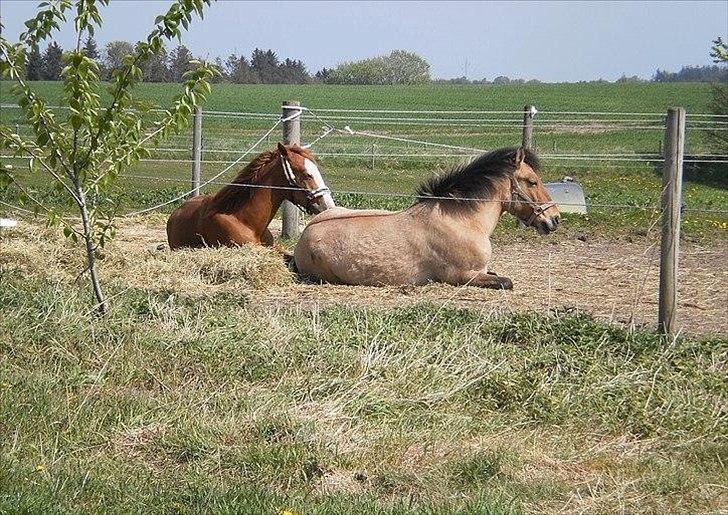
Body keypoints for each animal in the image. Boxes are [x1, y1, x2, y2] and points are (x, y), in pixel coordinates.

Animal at [292, 146, 560, 290]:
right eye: (532, 181)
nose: (554, 218)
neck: (462, 221)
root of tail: (306, 233)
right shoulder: (463, 277)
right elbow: (506, 282)